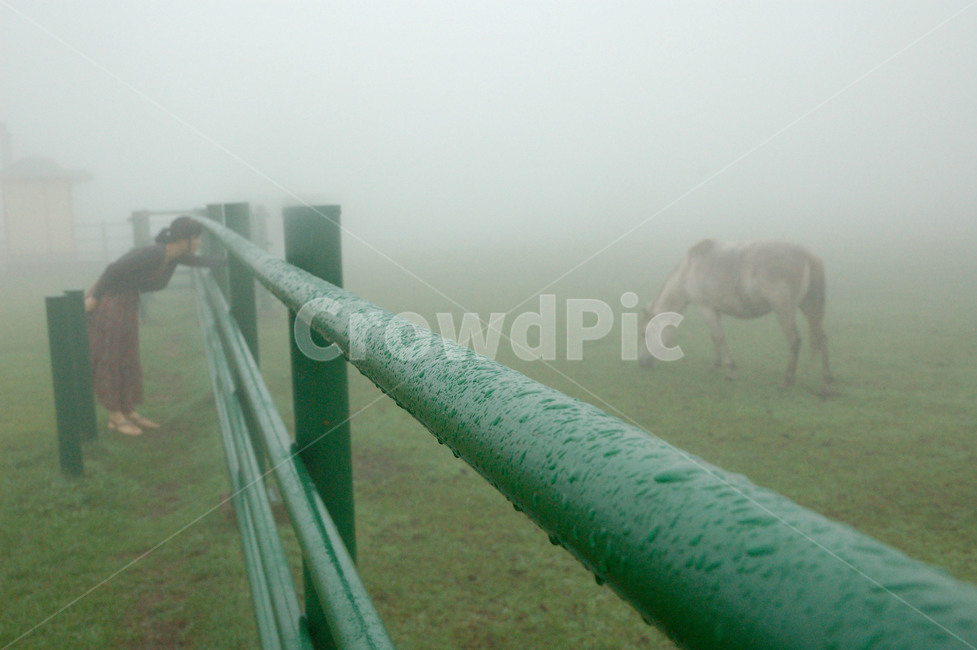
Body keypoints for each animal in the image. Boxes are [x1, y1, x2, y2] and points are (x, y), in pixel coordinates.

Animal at [638, 238, 833, 392]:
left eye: (645, 334)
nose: (642, 363)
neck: (689, 270)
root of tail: (807, 256)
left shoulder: (706, 308)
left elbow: (719, 337)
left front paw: (730, 371)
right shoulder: (715, 310)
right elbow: (714, 337)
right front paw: (715, 365)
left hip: (783, 309)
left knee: (794, 340)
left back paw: (786, 381)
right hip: (808, 306)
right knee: (822, 337)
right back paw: (826, 383)